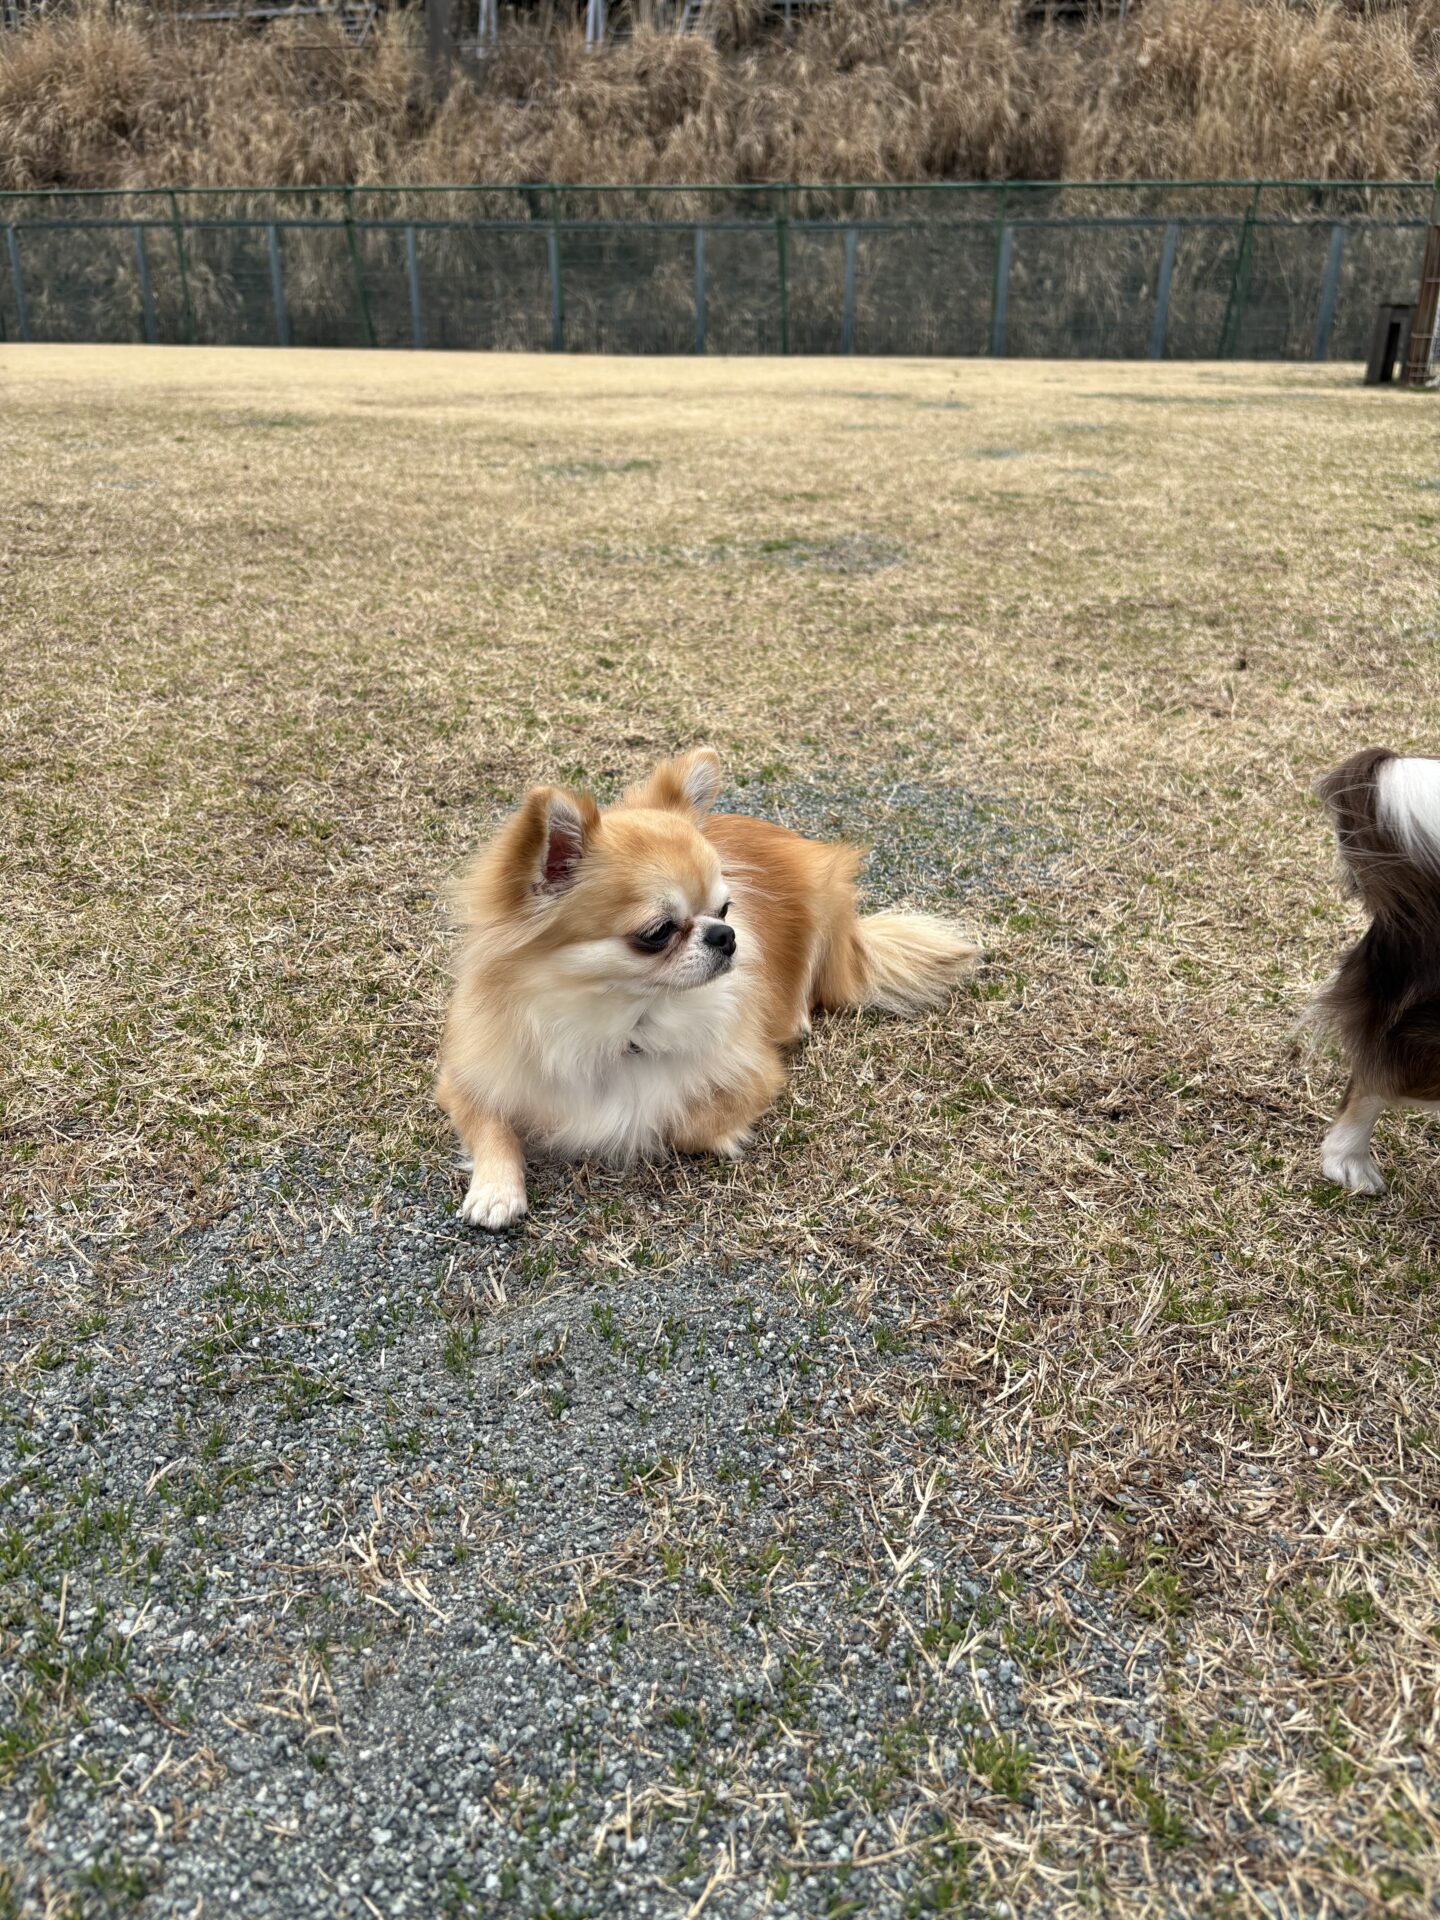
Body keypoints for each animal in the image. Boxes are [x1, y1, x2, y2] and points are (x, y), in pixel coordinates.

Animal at [436, 748, 979, 1228]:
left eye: (725, 909)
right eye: (657, 932)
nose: (726, 935)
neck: (620, 1017)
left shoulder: (756, 1075)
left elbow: (681, 1123)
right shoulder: (466, 1076)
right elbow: (491, 1125)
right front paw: (495, 1190)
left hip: (827, 903)